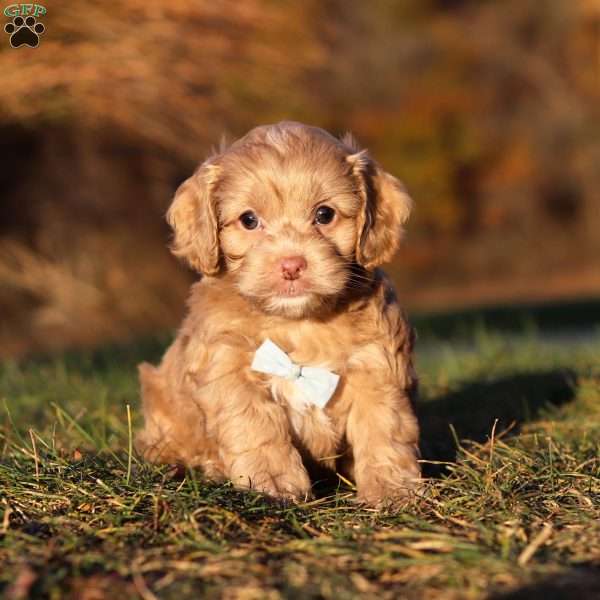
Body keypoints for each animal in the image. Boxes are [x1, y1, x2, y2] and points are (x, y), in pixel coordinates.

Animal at [137, 119, 420, 504]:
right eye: (249, 220)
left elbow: (384, 430)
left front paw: (394, 489)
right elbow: (256, 428)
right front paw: (273, 483)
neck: (298, 322)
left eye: (324, 214)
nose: (291, 264)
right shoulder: (228, 368)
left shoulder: (376, 365)